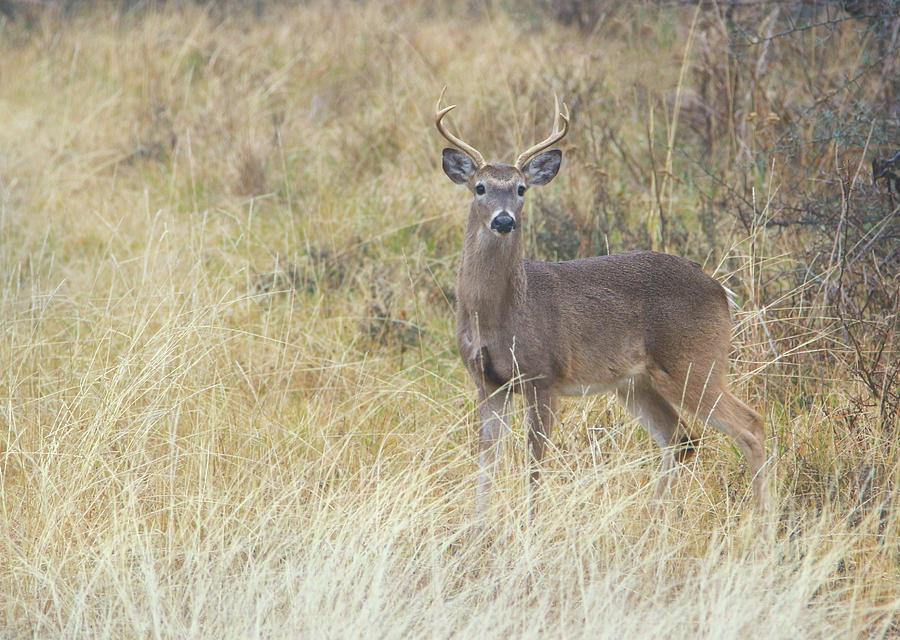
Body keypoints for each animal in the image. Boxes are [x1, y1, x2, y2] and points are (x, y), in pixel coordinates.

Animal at [432, 89, 768, 520]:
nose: (504, 221)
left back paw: (762, 523)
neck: (500, 315)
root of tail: (721, 290)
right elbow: (486, 462)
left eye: (521, 189)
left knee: (750, 425)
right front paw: (478, 527)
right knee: (681, 437)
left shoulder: (545, 375)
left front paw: (531, 525)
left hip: (696, 361)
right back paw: (654, 522)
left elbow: (534, 463)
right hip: (637, 382)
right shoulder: (487, 381)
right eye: (480, 187)